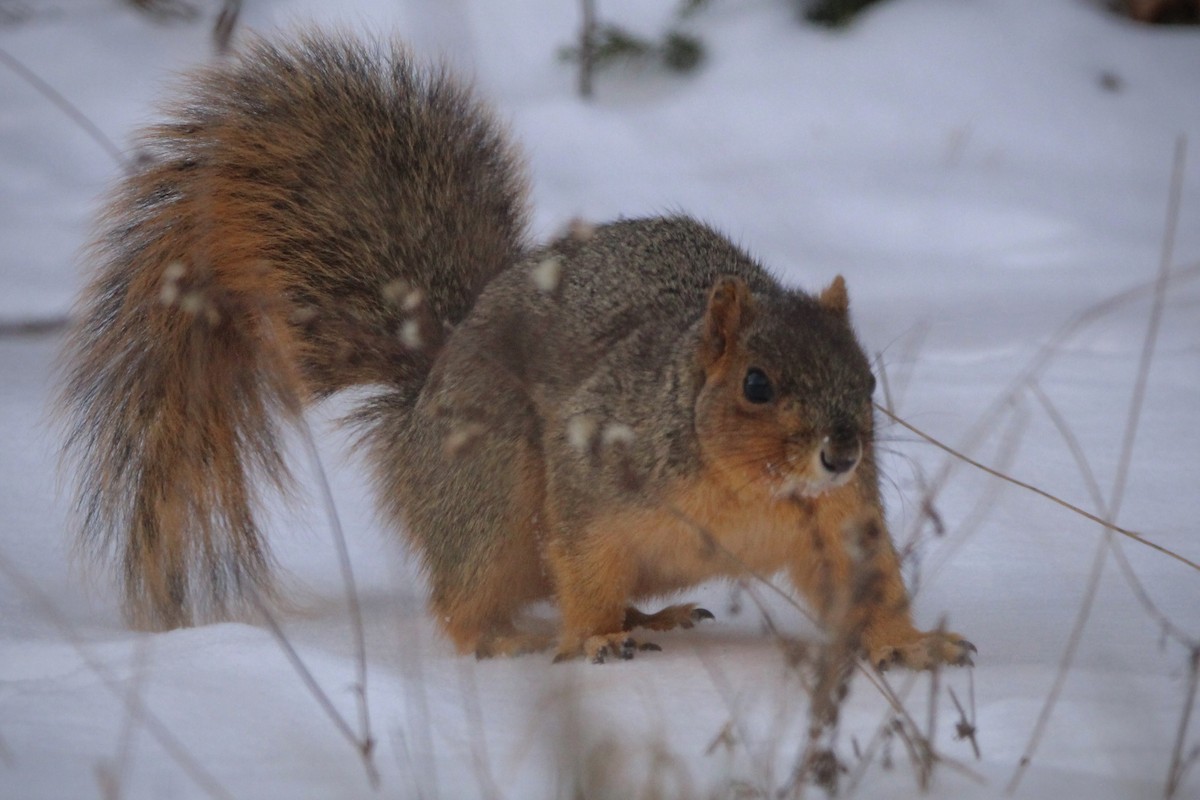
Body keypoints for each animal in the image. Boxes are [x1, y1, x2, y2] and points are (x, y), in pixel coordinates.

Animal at [59, 31, 973, 669]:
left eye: (868, 378)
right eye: (755, 383)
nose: (841, 451)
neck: (748, 489)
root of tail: (425, 395)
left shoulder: (839, 522)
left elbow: (866, 587)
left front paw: (909, 644)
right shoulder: (594, 478)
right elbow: (584, 561)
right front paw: (597, 640)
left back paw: (658, 614)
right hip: (492, 495)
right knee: (468, 600)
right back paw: (519, 639)